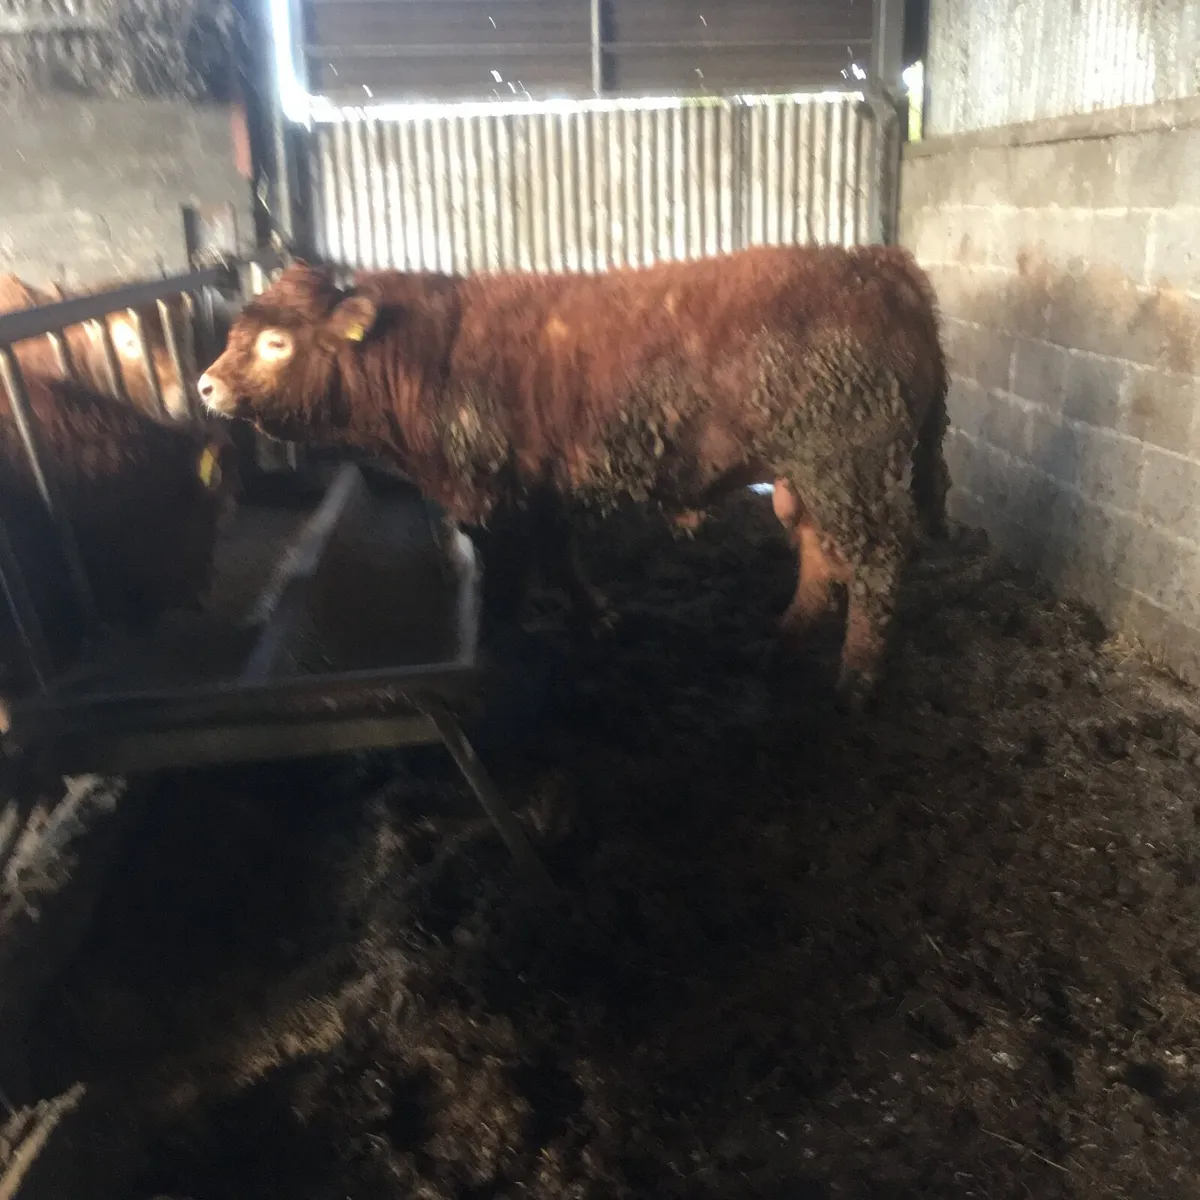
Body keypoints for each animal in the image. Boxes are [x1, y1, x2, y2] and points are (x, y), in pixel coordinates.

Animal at [196, 244, 950, 703]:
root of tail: (881, 261)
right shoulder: (541, 486)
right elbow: (561, 556)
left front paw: (500, 643)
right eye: (236, 332)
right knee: (822, 556)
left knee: (878, 560)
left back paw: (856, 681)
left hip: (850, 465)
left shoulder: (491, 493)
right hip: (808, 474)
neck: (425, 357)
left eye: (275, 342)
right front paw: (598, 620)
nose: (206, 386)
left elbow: (510, 575)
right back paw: (784, 645)